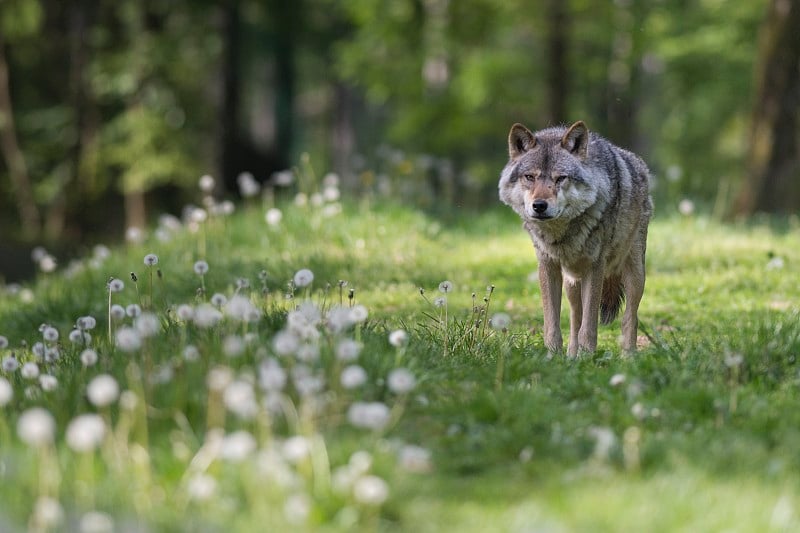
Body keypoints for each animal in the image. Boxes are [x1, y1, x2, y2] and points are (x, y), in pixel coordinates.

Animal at [496, 119, 652, 354]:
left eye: (560, 178)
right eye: (530, 177)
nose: (539, 205)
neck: (561, 235)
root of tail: (640, 164)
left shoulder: (595, 267)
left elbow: (589, 326)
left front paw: (588, 357)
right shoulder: (547, 265)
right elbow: (553, 324)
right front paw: (553, 355)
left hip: (635, 275)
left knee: (629, 318)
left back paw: (629, 356)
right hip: (571, 282)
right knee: (574, 319)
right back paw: (571, 356)